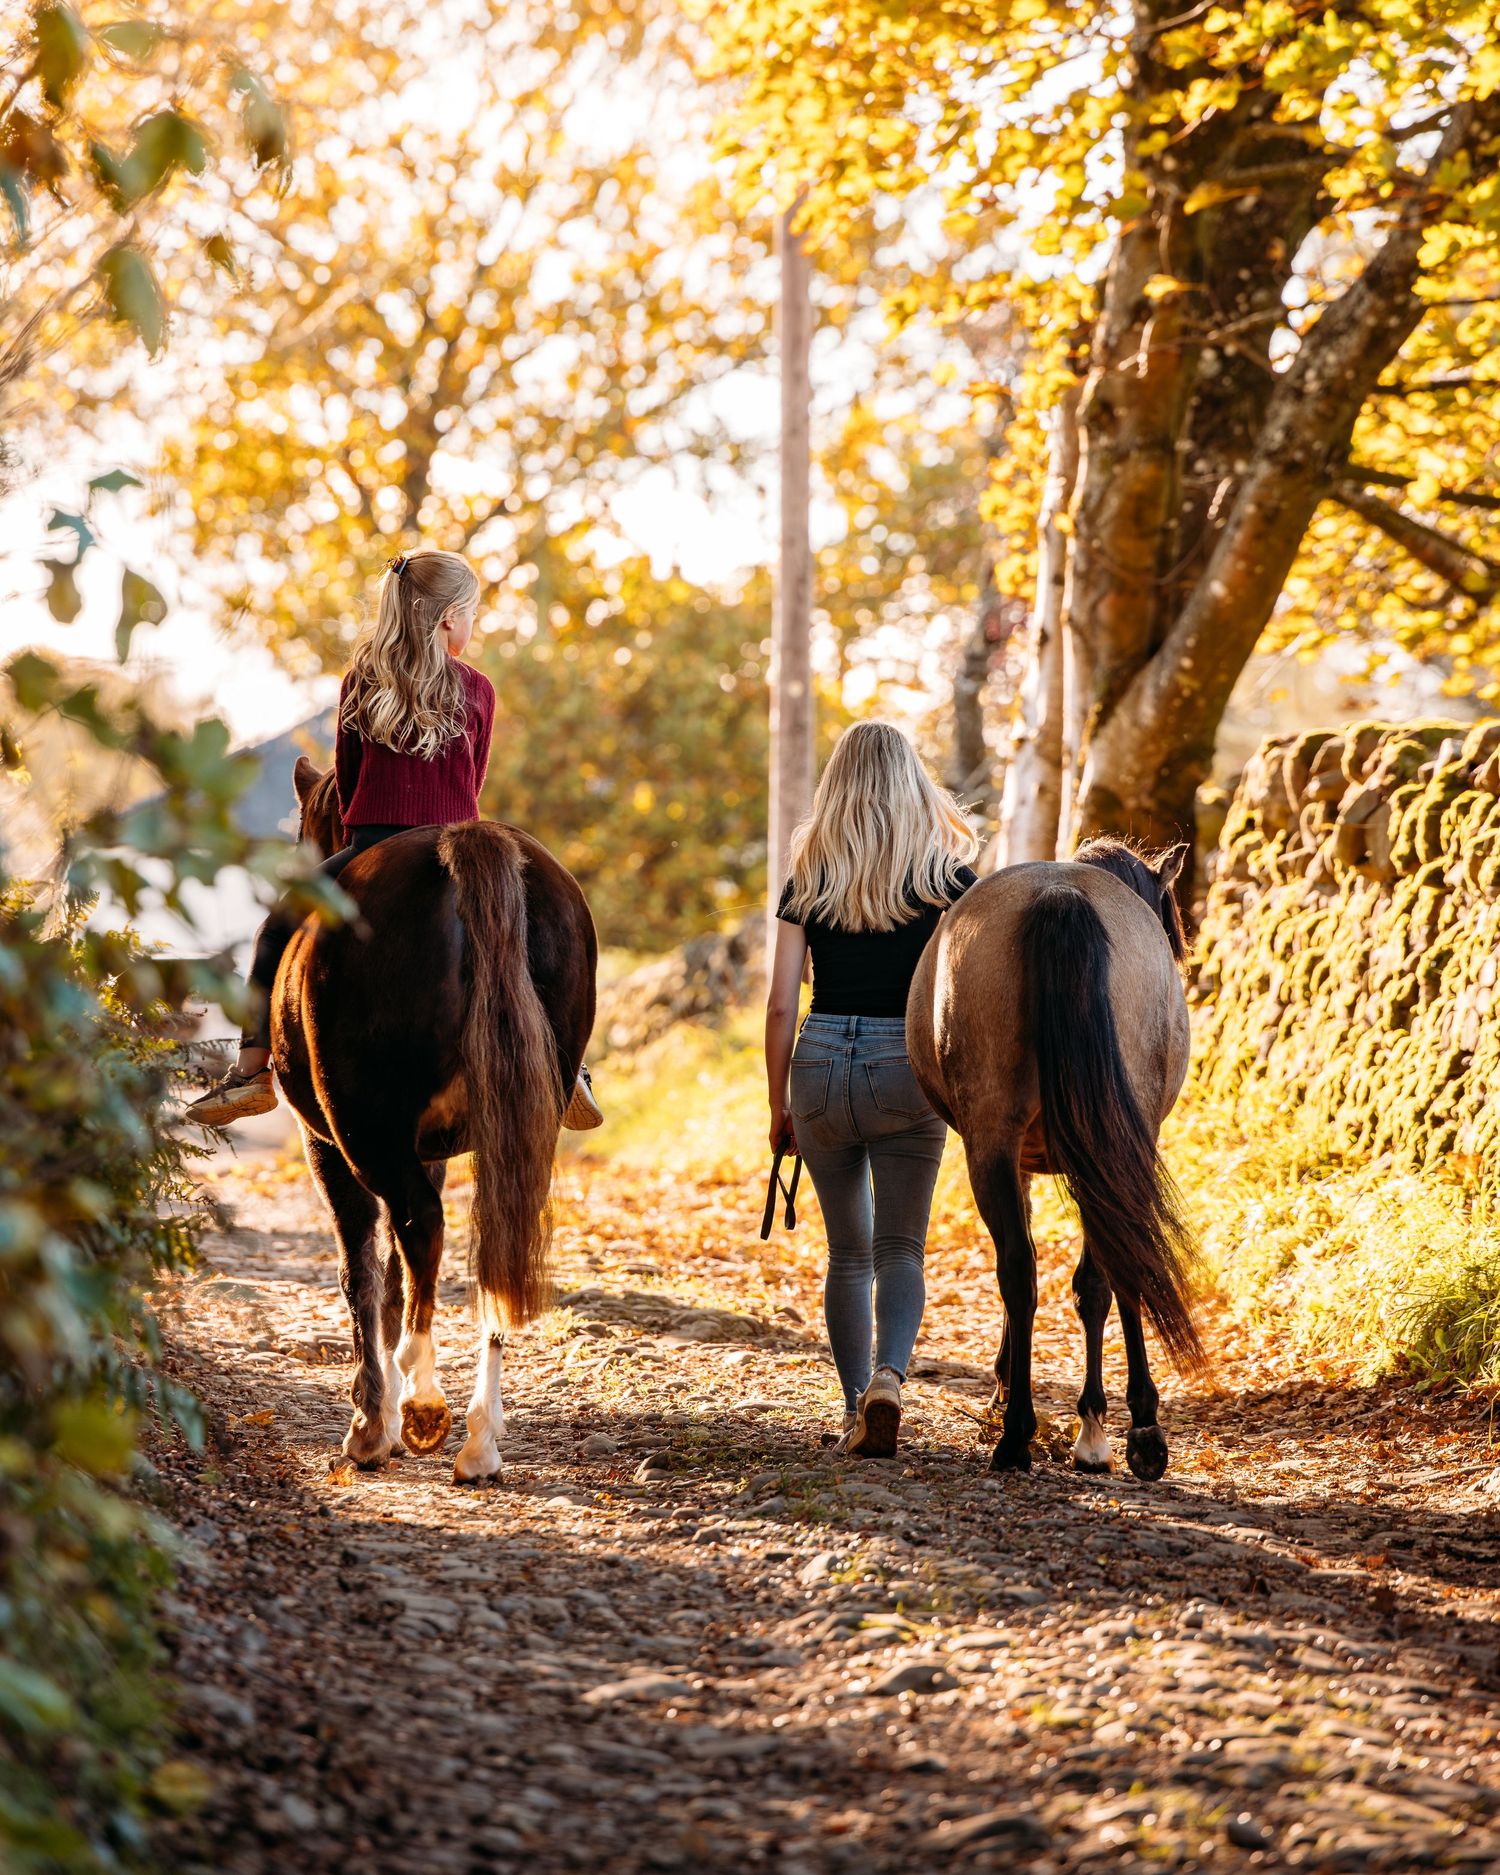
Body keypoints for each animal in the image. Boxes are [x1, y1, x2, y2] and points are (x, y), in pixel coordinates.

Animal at [273, 757, 596, 1483]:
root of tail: (464, 844)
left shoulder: (328, 1146)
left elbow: (364, 1272)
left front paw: (373, 1423)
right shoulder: (435, 1149)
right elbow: (396, 1279)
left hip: (367, 1131)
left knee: (422, 1227)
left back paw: (420, 1402)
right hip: (510, 1134)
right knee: (497, 1246)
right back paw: (479, 1440)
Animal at [907, 836, 1204, 1480]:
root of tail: (1060, 893)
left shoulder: (1018, 1159)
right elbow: (1092, 1282)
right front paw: (1093, 1426)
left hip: (1000, 1143)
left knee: (1020, 1270)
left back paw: (1021, 1432)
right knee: (1091, 1266)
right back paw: (1136, 1431)